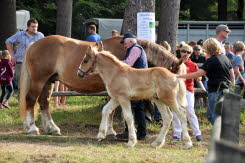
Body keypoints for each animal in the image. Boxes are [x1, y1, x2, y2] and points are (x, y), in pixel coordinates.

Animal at [19, 35, 186, 136]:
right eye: (176, 73)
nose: (179, 97)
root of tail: (34, 44)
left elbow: (111, 110)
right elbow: (113, 110)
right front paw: (111, 130)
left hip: (49, 82)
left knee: (44, 102)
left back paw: (52, 128)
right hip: (39, 80)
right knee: (31, 99)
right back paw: (31, 127)